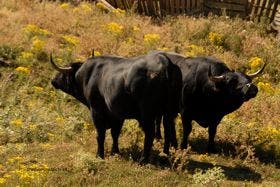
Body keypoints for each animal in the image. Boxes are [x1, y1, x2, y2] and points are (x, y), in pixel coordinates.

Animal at [50, 52, 182, 162]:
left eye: (62, 73)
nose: (53, 80)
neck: (88, 75)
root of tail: (165, 62)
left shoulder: (96, 111)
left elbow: (100, 135)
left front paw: (100, 155)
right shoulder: (117, 115)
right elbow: (115, 133)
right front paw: (115, 152)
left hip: (147, 113)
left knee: (150, 133)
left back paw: (143, 160)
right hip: (169, 112)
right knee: (168, 130)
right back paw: (165, 155)